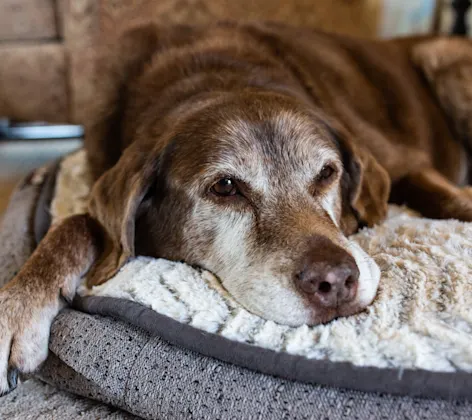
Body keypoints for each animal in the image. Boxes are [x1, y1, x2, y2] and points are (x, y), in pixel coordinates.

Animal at [0, 21, 472, 396]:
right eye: (225, 187)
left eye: (327, 173)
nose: (336, 282)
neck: (218, 75)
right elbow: (77, 223)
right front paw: (18, 306)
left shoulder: (403, 162)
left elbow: (447, 198)